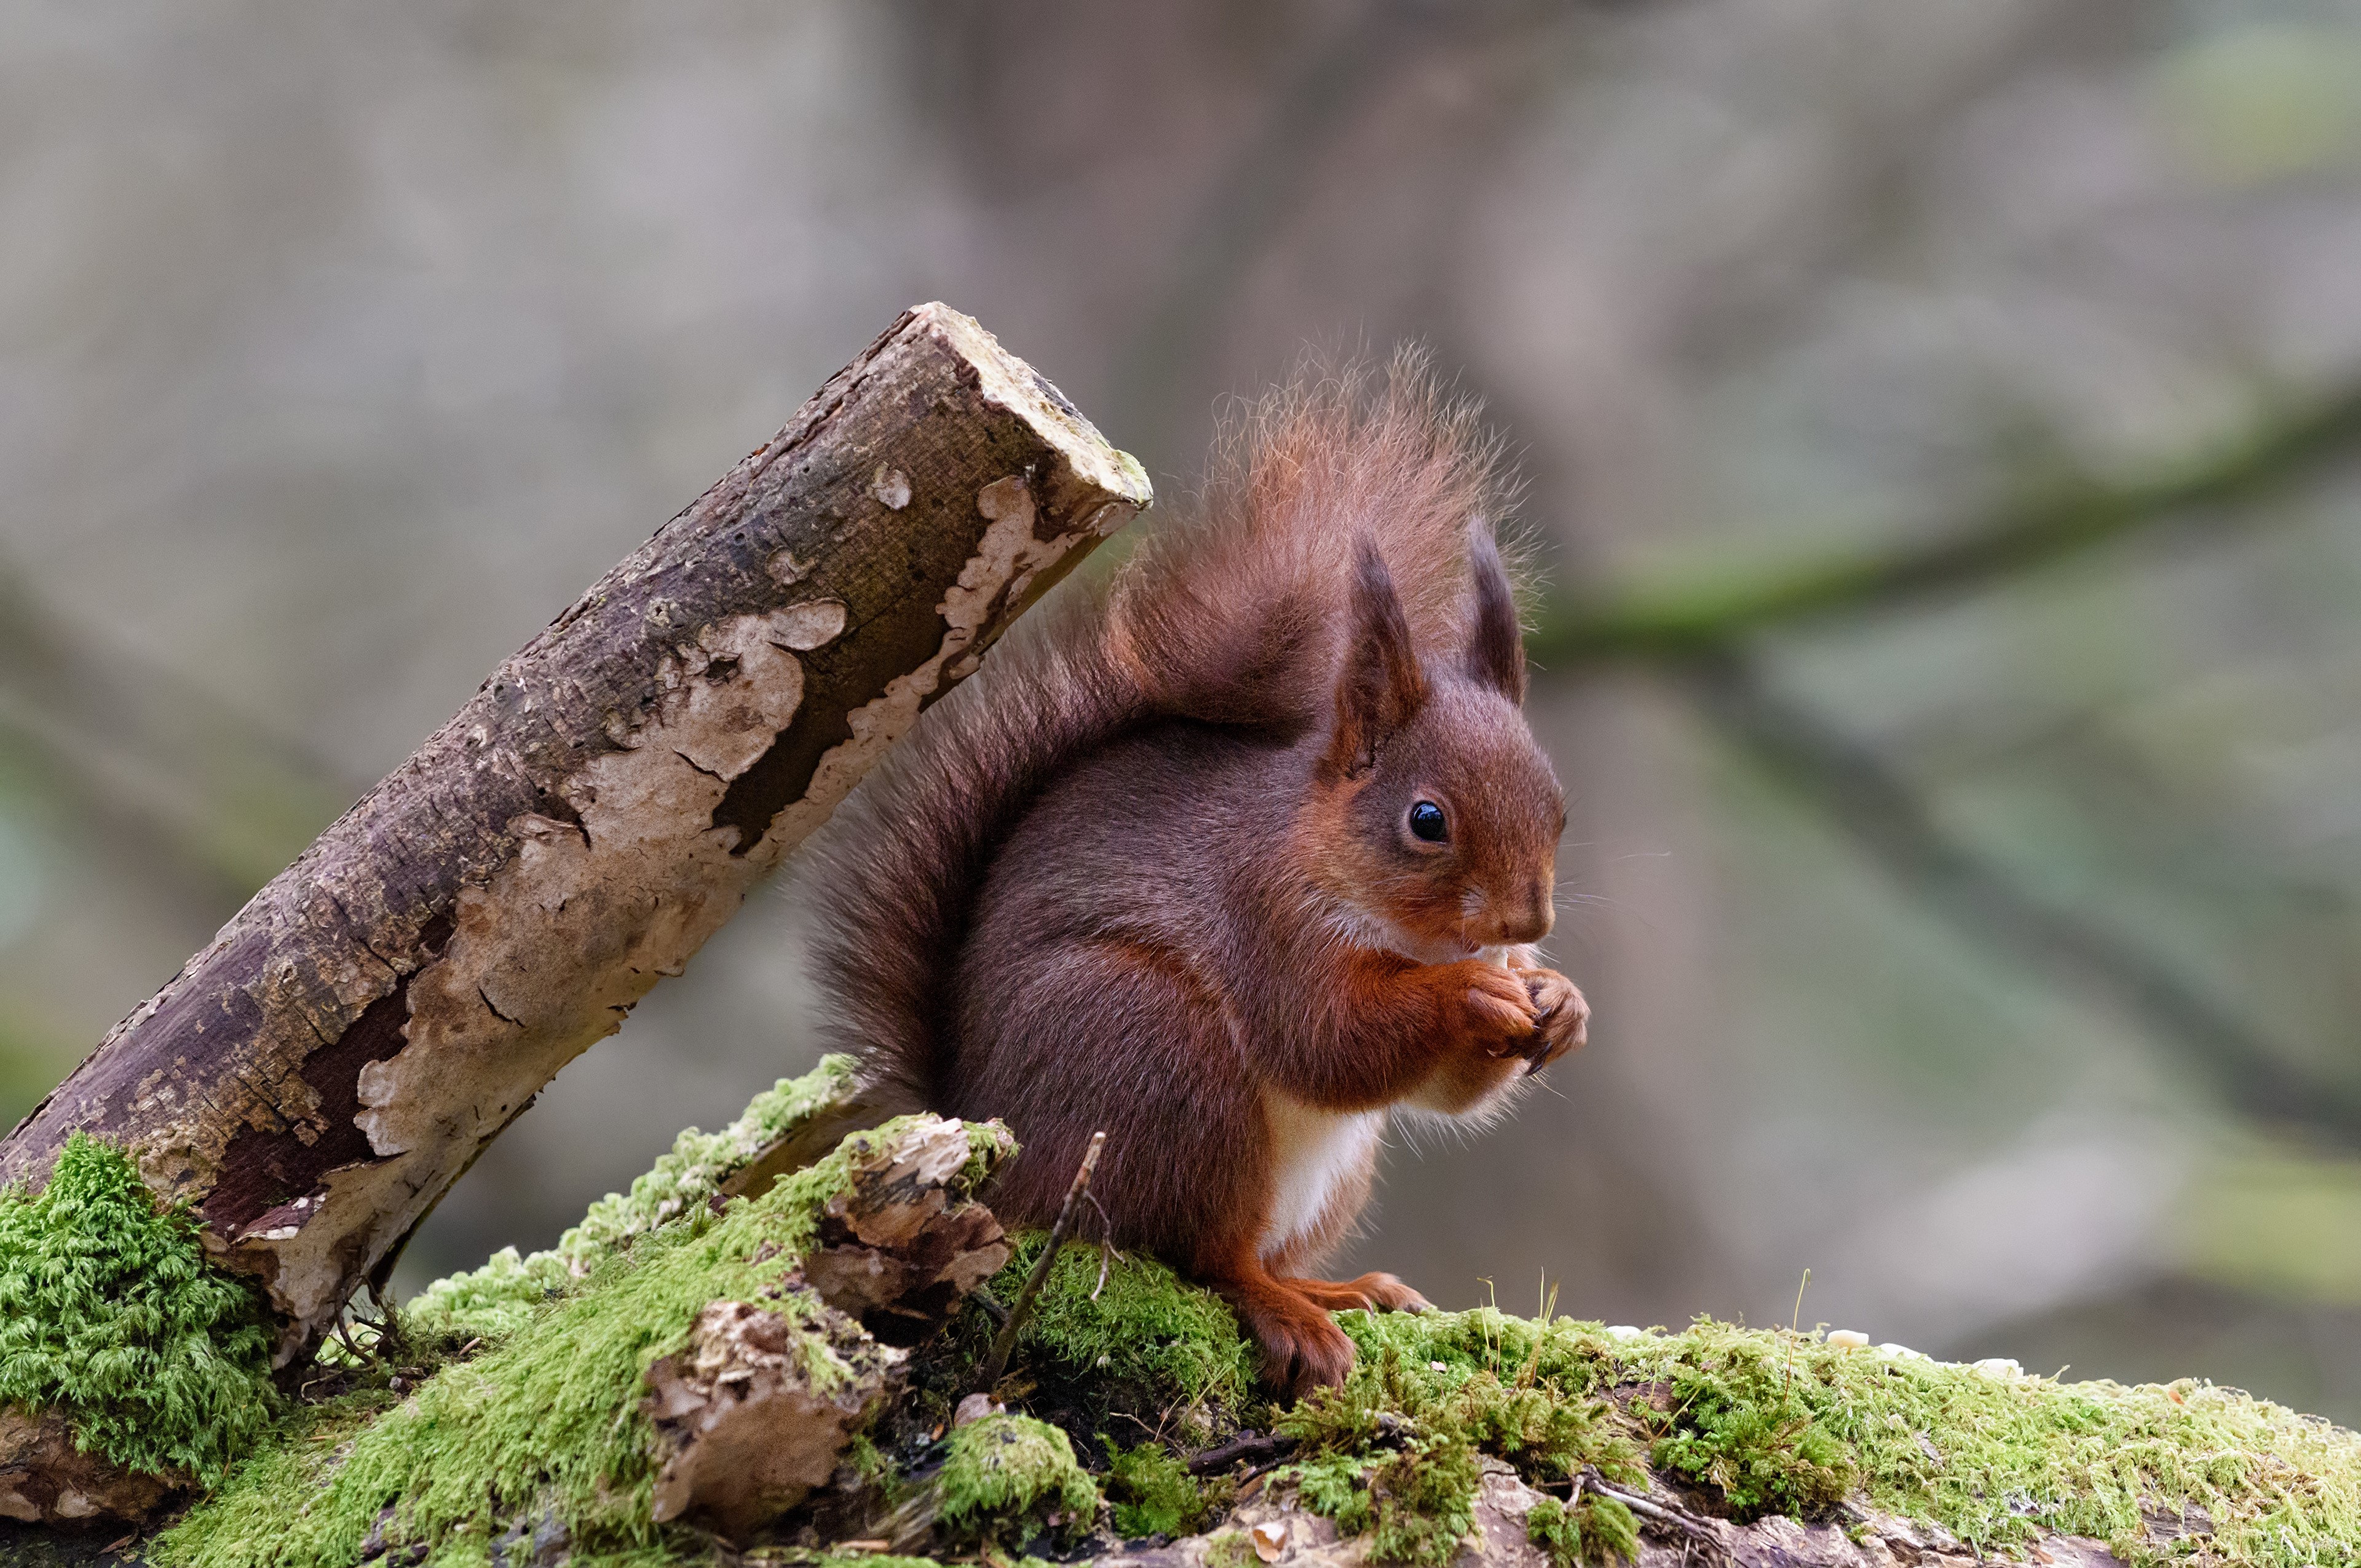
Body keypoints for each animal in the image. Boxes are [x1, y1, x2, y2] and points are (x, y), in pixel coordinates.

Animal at [810, 354, 1587, 1395]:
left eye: (1559, 809)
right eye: (1427, 821)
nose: (1523, 921)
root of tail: (998, 1149)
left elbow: (1445, 1090)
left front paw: (1559, 999)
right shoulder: (1264, 919)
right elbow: (1328, 1038)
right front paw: (1471, 994)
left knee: (1258, 1251)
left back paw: (1344, 1288)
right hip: (1163, 1062)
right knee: (1207, 1256)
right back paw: (1292, 1314)